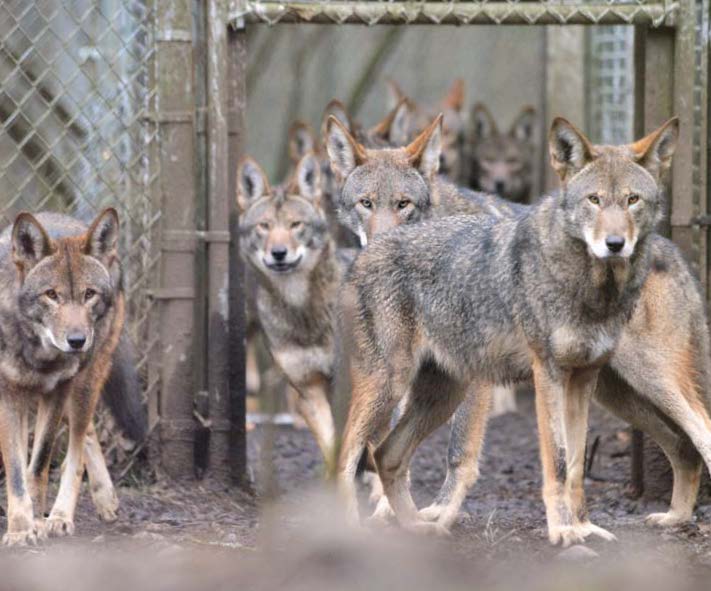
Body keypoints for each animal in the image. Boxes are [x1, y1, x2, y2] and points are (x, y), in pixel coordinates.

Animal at [0, 210, 135, 548]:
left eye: (89, 294)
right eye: (51, 295)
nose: (77, 341)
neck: (39, 353)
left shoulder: (58, 391)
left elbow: (38, 465)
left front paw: (35, 522)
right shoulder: (9, 395)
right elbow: (17, 471)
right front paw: (20, 529)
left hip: (84, 383)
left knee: (76, 448)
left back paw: (62, 515)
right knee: (87, 433)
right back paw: (103, 499)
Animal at [238, 151, 354, 476]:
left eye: (295, 225)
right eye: (264, 226)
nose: (278, 253)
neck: (304, 312)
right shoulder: (309, 390)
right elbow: (333, 449)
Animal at [340, 114, 700, 544]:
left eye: (403, 203)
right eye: (365, 203)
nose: (616, 244)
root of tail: (678, 256)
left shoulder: (557, 379)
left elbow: (547, 461)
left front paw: (575, 530)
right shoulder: (548, 375)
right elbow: (559, 461)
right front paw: (570, 531)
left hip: (643, 385)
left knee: (696, 437)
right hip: (403, 386)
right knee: (360, 453)